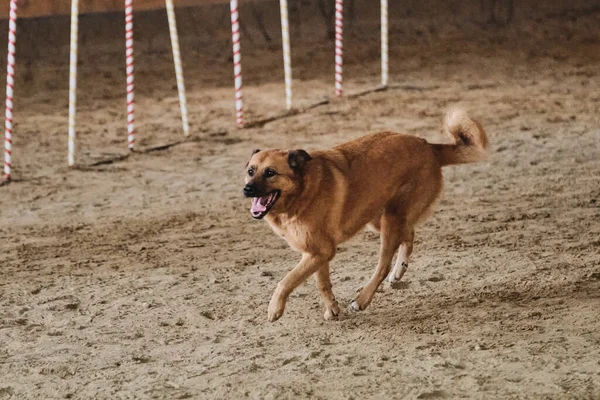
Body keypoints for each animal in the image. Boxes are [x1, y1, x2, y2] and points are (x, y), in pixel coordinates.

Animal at [244, 109, 488, 322]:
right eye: (250, 171)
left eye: (270, 172)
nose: (247, 190)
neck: (302, 190)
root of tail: (428, 146)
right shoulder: (316, 253)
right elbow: (322, 283)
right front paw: (332, 309)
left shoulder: (321, 251)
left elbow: (286, 281)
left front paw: (274, 309)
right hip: (379, 218)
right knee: (409, 235)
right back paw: (398, 273)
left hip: (390, 220)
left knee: (384, 264)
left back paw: (362, 300)